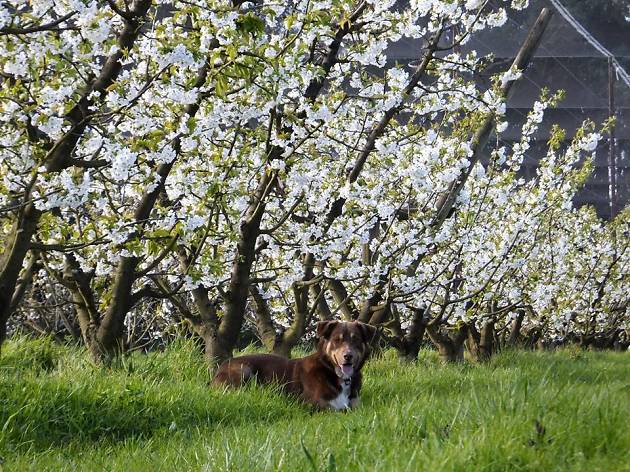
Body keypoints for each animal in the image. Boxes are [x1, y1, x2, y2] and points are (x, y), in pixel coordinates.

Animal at [212, 320, 380, 410]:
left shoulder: (356, 405)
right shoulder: (310, 403)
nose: (348, 356)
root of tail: (219, 369)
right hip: (243, 369)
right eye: (337, 340)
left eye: (355, 339)